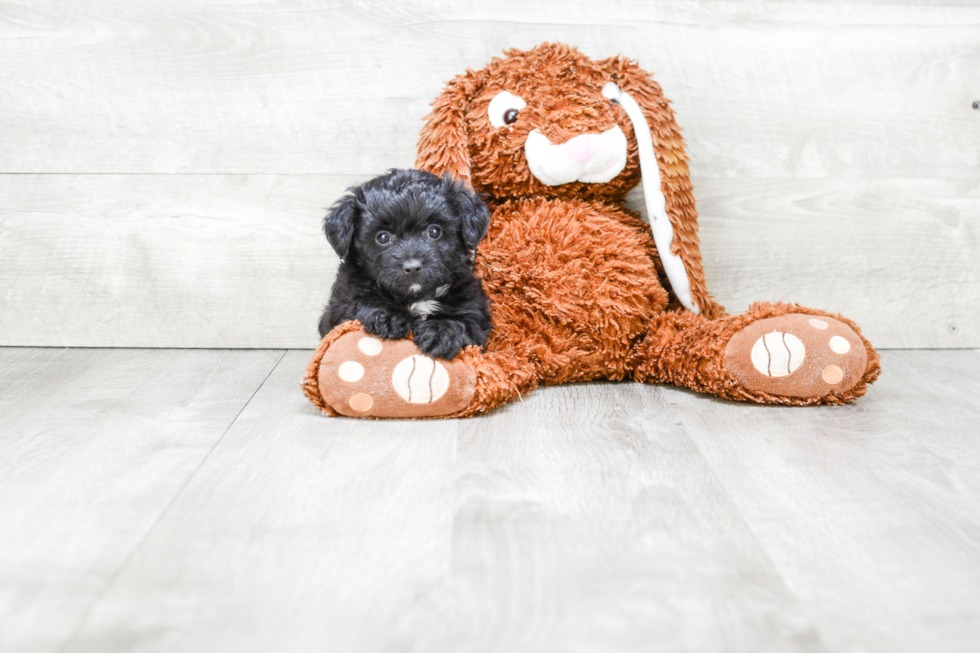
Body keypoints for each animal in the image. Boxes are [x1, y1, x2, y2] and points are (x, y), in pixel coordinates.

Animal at [320, 168, 494, 360]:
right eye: (383, 237)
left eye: (434, 231)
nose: (412, 267)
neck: (415, 296)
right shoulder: (337, 308)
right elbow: (359, 302)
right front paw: (388, 315)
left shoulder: (474, 310)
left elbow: (465, 323)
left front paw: (441, 331)